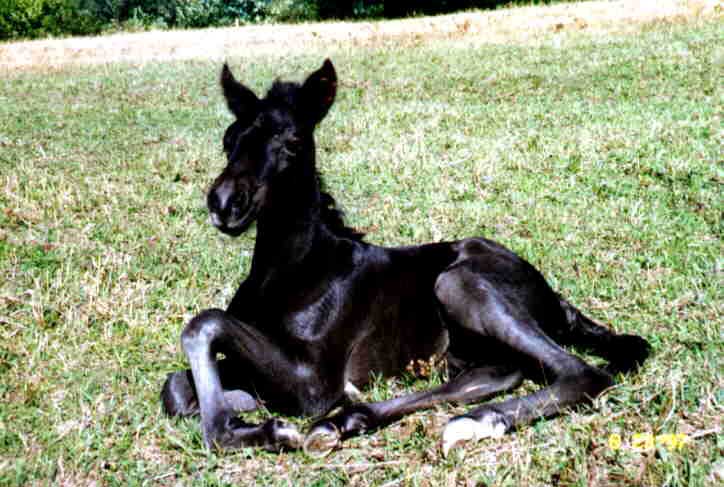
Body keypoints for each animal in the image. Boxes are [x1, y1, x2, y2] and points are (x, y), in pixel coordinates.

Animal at [160, 60, 652, 458]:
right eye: (228, 140)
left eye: (294, 142)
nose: (225, 203)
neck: (294, 270)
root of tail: (555, 297)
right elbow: (178, 389)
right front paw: (240, 417)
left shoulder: (314, 382)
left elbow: (205, 323)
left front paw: (250, 433)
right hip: (465, 351)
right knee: (493, 375)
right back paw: (350, 421)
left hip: (456, 284)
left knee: (582, 374)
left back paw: (474, 422)